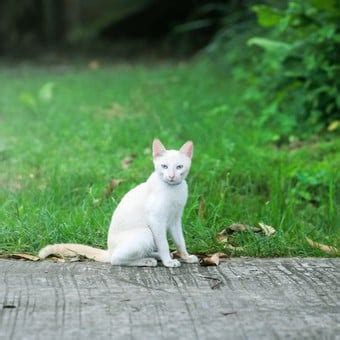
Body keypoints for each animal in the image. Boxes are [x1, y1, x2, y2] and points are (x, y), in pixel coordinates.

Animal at [39, 139, 199, 266]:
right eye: (164, 166)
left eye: (179, 167)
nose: (171, 176)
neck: (173, 190)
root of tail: (109, 250)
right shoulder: (156, 220)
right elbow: (164, 244)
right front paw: (168, 262)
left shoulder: (175, 220)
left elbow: (180, 241)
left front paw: (186, 257)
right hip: (145, 232)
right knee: (116, 260)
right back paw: (148, 260)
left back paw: (154, 255)